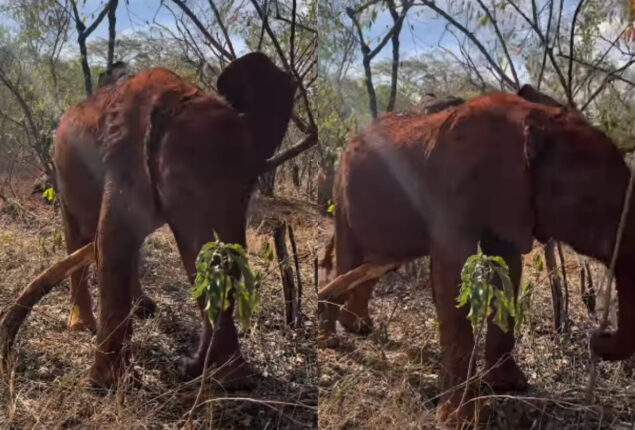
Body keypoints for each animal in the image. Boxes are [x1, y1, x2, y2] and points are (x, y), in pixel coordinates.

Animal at [53, 52, 296, 388]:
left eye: (250, 187)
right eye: (183, 185)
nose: (187, 364)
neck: (180, 93)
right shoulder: (123, 157)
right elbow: (112, 240)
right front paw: (112, 385)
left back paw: (144, 308)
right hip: (61, 171)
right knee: (77, 234)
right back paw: (82, 326)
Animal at [320, 90, 635, 424]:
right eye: (590, 203)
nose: (597, 339)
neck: (533, 117)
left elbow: (509, 268)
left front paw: (508, 386)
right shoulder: (452, 190)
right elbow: (452, 275)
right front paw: (459, 419)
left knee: (378, 264)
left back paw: (358, 327)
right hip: (342, 194)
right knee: (351, 258)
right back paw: (331, 337)